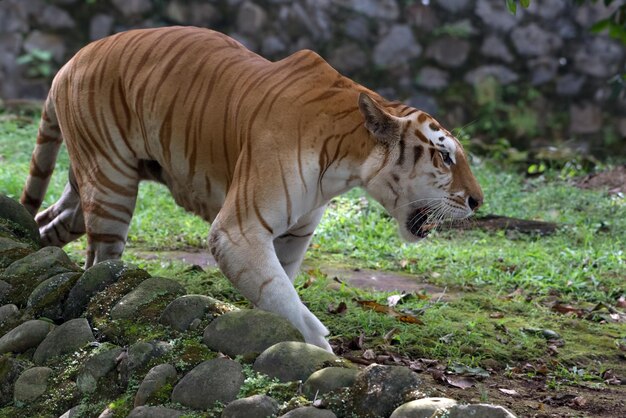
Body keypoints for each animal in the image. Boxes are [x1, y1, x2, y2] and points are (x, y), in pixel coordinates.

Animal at [20, 26, 482, 352]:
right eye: (445, 157)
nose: (478, 201)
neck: (348, 156)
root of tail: (69, 61)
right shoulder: (238, 231)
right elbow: (282, 296)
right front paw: (319, 350)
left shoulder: (293, 235)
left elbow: (280, 287)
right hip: (111, 184)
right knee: (99, 261)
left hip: (89, 184)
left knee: (48, 220)